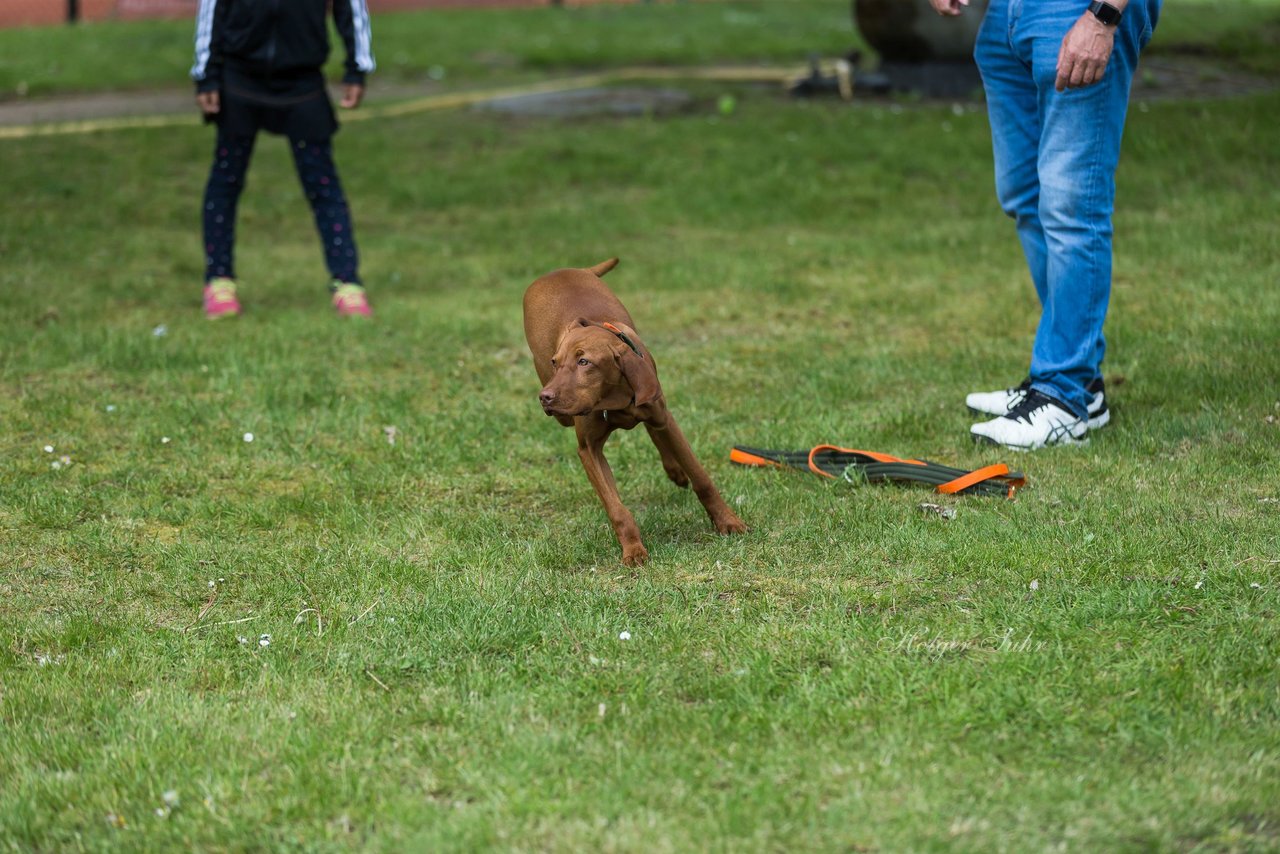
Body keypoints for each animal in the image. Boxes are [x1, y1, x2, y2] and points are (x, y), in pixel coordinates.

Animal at [522, 261, 747, 568]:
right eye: (556, 362)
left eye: (584, 362)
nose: (545, 398)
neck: (615, 399)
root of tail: (568, 270)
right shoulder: (588, 449)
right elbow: (617, 509)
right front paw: (633, 550)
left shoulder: (664, 417)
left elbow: (702, 479)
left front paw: (728, 522)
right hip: (561, 411)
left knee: (655, 431)